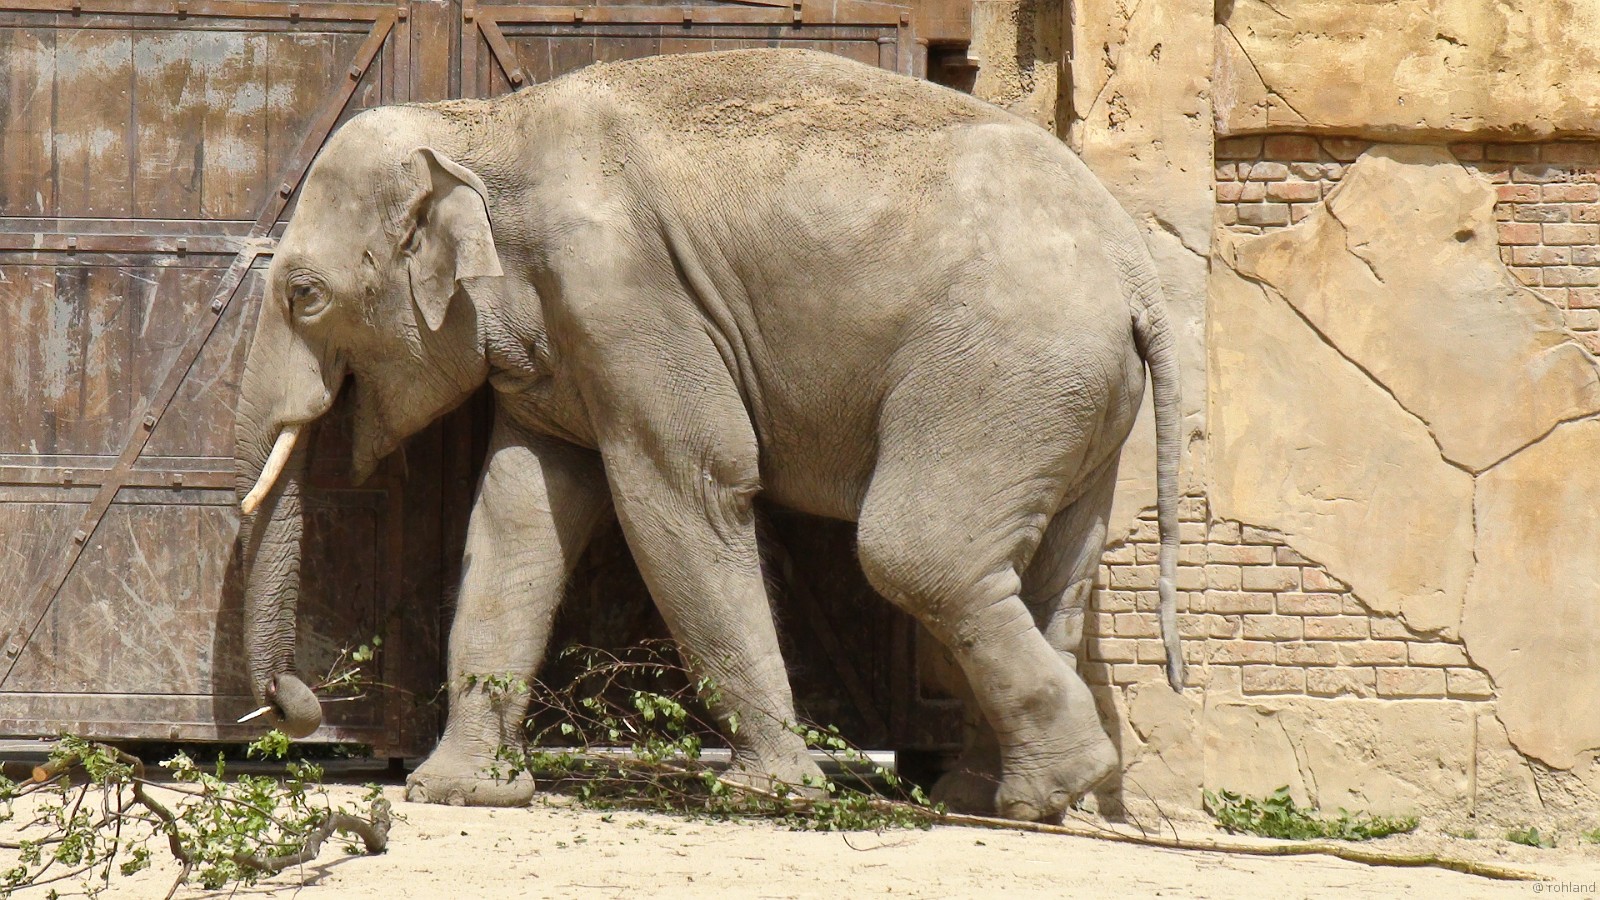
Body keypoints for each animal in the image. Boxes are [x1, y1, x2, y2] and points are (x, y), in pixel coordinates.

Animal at [233, 47, 1183, 824]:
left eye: (305, 295)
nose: (296, 708)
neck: (487, 124)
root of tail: (1135, 268)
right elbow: (518, 512)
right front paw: (461, 793)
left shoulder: (628, 297)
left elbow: (688, 487)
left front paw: (767, 795)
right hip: (1072, 399)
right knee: (1052, 568)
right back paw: (1002, 796)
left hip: (1005, 368)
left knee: (920, 554)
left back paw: (1049, 786)